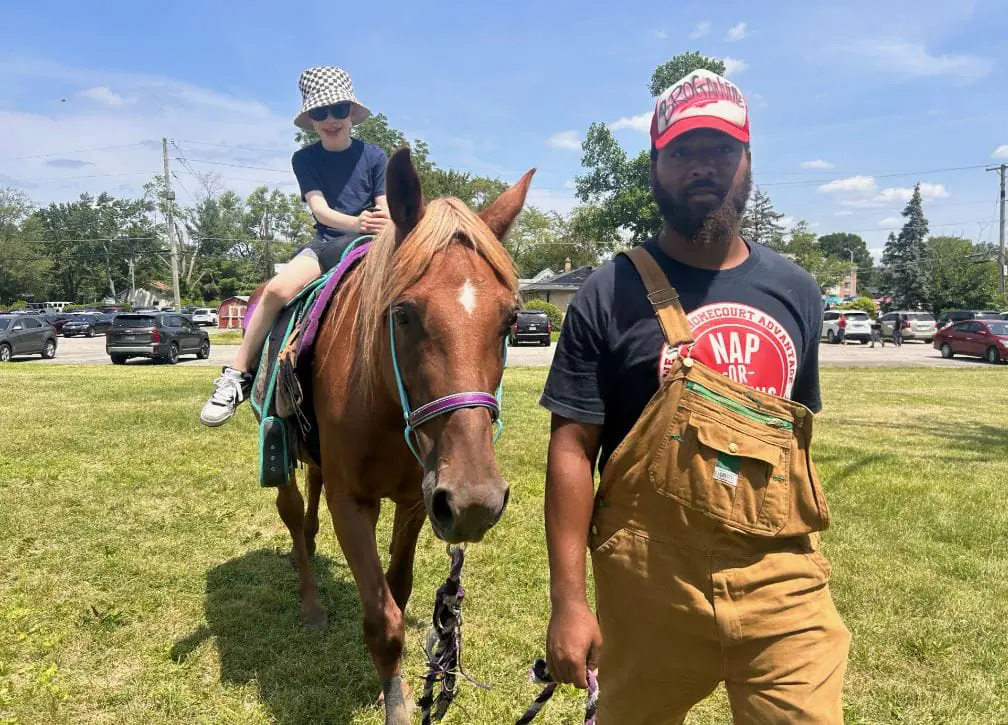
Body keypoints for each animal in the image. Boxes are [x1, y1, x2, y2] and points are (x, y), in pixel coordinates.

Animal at [250, 149, 532, 725]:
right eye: (402, 314)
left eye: (511, 319)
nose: (475, 501)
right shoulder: (353, 502)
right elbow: (382, 620)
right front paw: (396, 703)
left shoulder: (418, 501)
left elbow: (397, 589)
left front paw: (390, 688)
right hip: (279, 451)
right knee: (292, 512)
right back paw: (310, 600)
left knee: (308, 512)